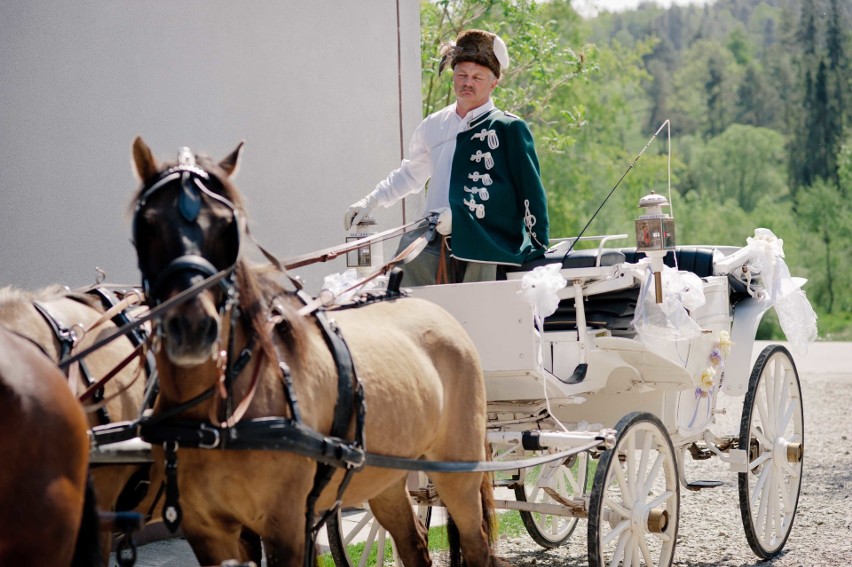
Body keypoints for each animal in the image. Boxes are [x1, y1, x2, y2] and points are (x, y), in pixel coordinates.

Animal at [128, 138, 500, 567]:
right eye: (147, 225)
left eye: (227, 226)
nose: (191, 327)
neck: (221, 414)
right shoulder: (208, 531)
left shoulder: (285, 524)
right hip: (385, 477)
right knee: (413, 542)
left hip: (458, 471)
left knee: (476, 543)